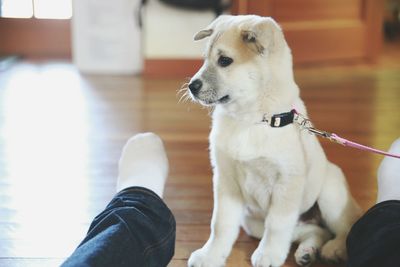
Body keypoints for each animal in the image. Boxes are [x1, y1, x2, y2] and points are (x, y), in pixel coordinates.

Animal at [186, 15, 360, 267]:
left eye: (225, 60)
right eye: (205, 59)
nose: (192, 86)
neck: (251, 120)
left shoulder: (286, 181)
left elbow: (277, 225)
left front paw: (268, 254)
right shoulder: (226, 179)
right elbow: (220, 224)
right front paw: (211, 254)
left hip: (330, 190)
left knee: (344, 227)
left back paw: (334, 249)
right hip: (253, 223)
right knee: (313, 231)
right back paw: (307, 251)